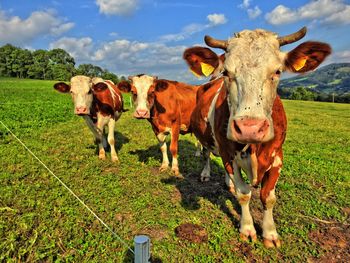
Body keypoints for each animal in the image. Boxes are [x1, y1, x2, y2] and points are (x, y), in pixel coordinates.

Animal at [183, 27, 330, 249]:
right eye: (226, 72)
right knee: (207, 154)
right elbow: (244, 194)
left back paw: (228, 183)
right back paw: (207, 174)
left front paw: (270, 233)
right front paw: (247, 229)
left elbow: (268, 197)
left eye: (277, 71)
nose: (249, 128)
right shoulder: (228, 153)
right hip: (207, 138)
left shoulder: (277, 156)